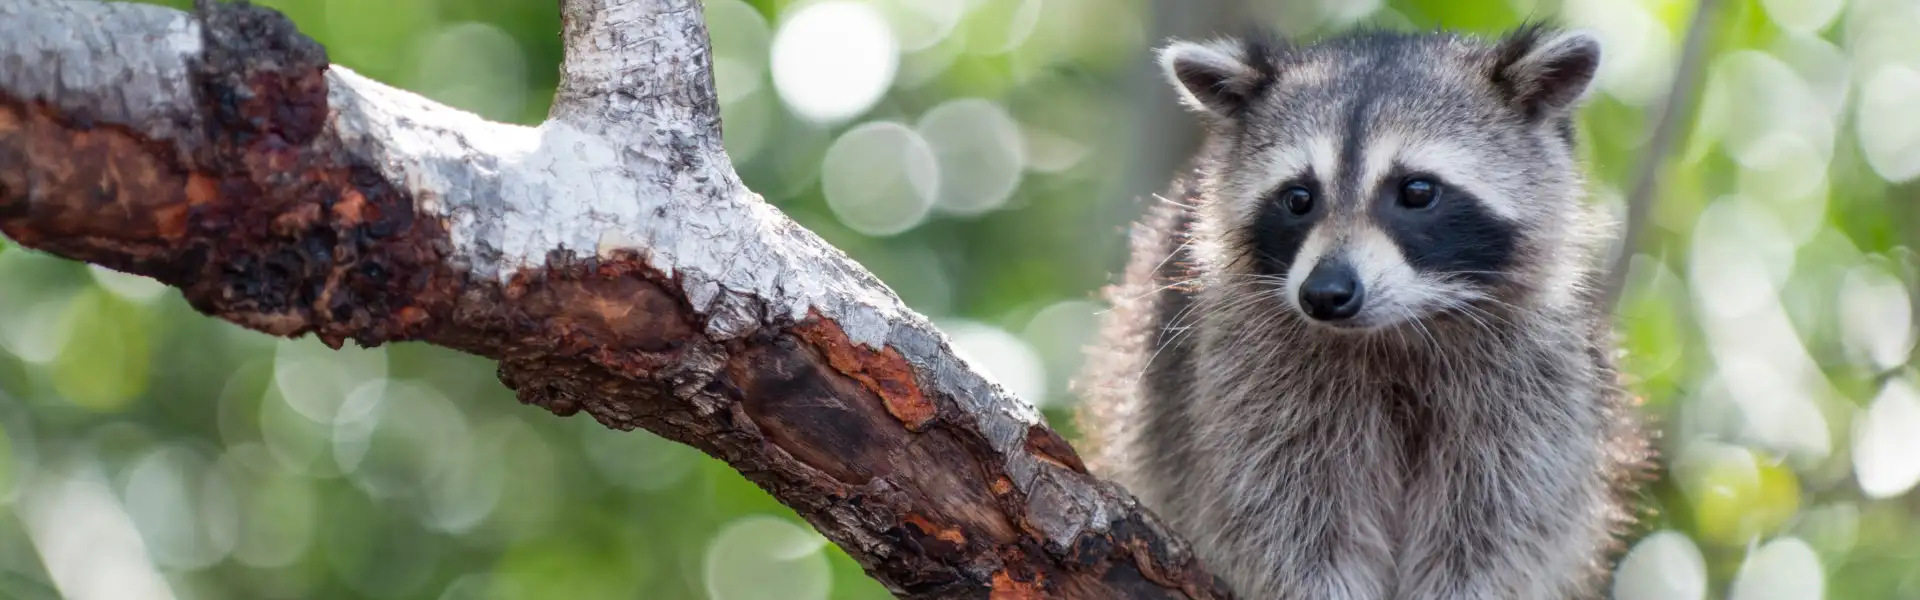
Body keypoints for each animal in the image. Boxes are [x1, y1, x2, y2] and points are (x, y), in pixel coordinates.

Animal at [1074, 24, 1652, 599]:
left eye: (1417, 191)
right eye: (1298, 198)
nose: (1325, 293)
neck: (1395, 329)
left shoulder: (1533, 392)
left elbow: (1491, 532)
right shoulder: (1247, 385)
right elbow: (1285, 522)